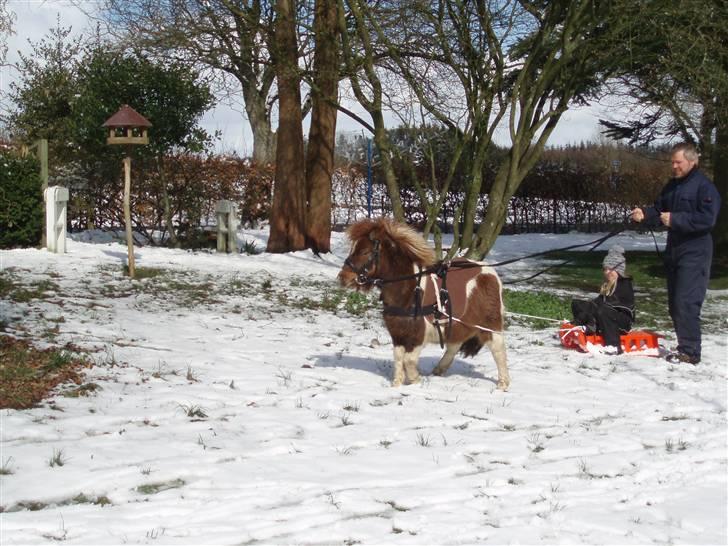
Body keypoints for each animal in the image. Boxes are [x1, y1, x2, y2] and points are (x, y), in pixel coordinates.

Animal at [338, 218, 510, 392]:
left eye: (364, 252)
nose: (342, 277)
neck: (408, 291)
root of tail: (490, 272)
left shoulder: (418, 335)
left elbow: (408, 361)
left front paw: (415, 382)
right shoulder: (398, 334)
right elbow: (398, 359)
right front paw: (397, 385)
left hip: (490, 323)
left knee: (498, 349)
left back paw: (503, 384)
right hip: (459, 323)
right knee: (455, 344)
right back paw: (438, 370)